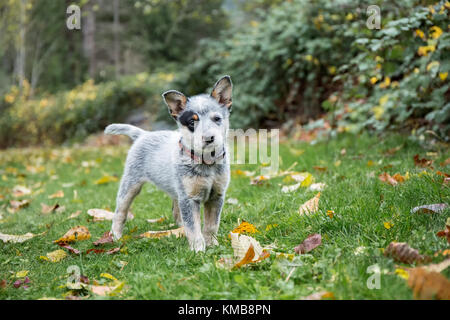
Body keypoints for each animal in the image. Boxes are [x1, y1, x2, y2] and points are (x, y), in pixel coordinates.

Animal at [104, 76, 232, 251]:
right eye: (192, 122)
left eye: (217, 119)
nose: (208, 138)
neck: (207, 163)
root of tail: (143, 134)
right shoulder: (189, 198)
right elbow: (194, 227)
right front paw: (198, 250)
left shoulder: (217, 195)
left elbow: (212, 225)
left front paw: (212, 245)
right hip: (130, 184)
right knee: (120, 212)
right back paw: (116, 236)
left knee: (176, 211)